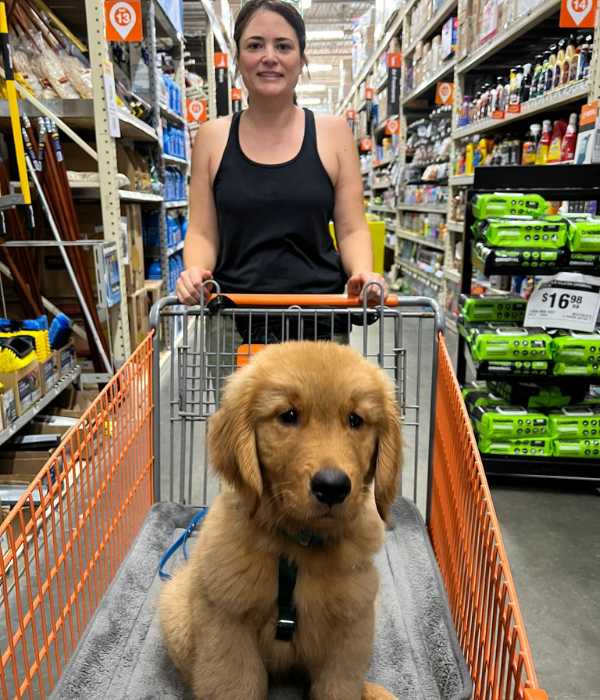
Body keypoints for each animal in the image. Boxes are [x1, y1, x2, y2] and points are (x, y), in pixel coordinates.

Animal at [161, 342, 404, 696]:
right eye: (288, 416)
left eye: (355, 420)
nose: (332, 487)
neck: (297, 545)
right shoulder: (227, 626)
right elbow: (234, 685)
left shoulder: (350, 631)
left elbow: (340, 686)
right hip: (177, 611)